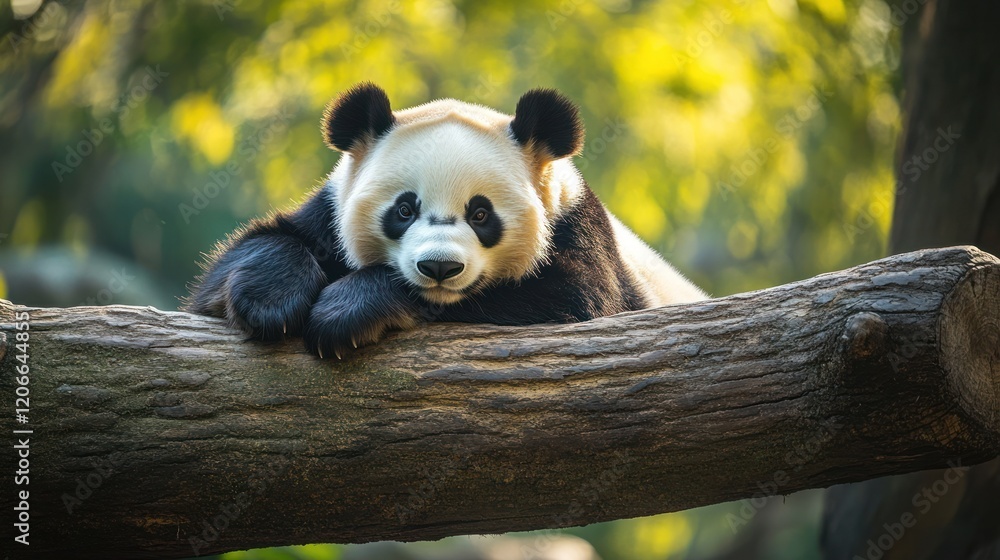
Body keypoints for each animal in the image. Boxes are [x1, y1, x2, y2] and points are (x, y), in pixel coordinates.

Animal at [185, 83, 707, 359]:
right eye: (404, 209)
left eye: (480, 213)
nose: (439, 268)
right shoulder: (328, 211)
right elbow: (240, 263)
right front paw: (269, 305)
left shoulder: (578, 229)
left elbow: (574, 298)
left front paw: (345, 314)